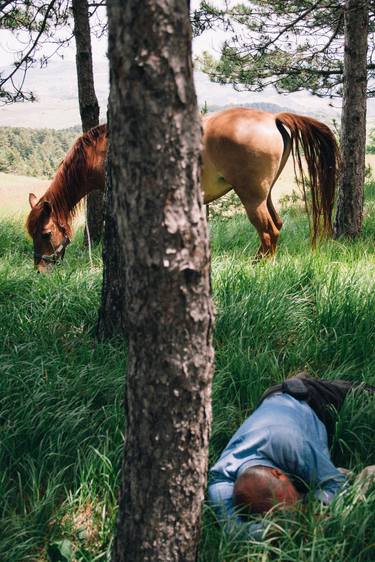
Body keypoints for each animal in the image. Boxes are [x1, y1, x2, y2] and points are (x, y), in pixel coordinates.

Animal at [25, 107, 340, 272]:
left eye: (46, 233)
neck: (101, 151)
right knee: (276, 226)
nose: (40, 268)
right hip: (266, 195)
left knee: (268, 232)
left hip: (252, 198)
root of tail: (273, 117)